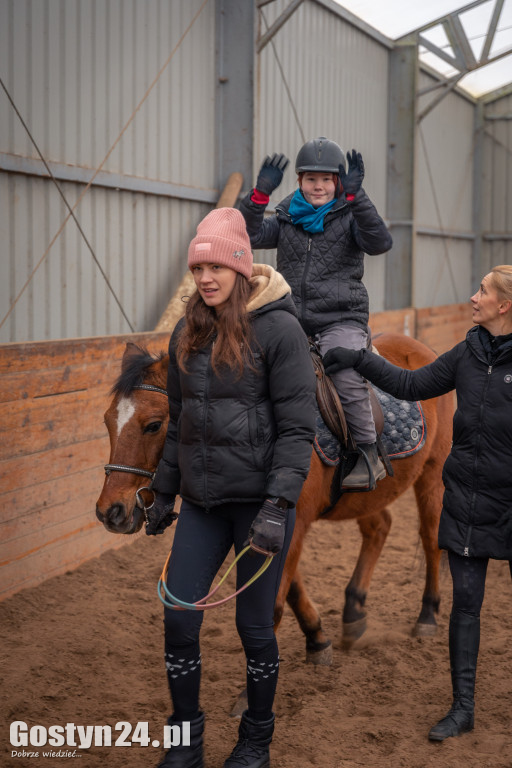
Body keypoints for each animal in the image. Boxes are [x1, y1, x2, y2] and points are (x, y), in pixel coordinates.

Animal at [96, 332, 452, 664]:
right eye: (107, 421)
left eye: (153, 425)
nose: (109, 511)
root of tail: (422, 348)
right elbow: (291, 590)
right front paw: (317, 637)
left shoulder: (290, 522)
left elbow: (276, 603)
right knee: (379, 528)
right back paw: (353, 612)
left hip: (433, 473)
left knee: (430, 537)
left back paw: (427, 615)